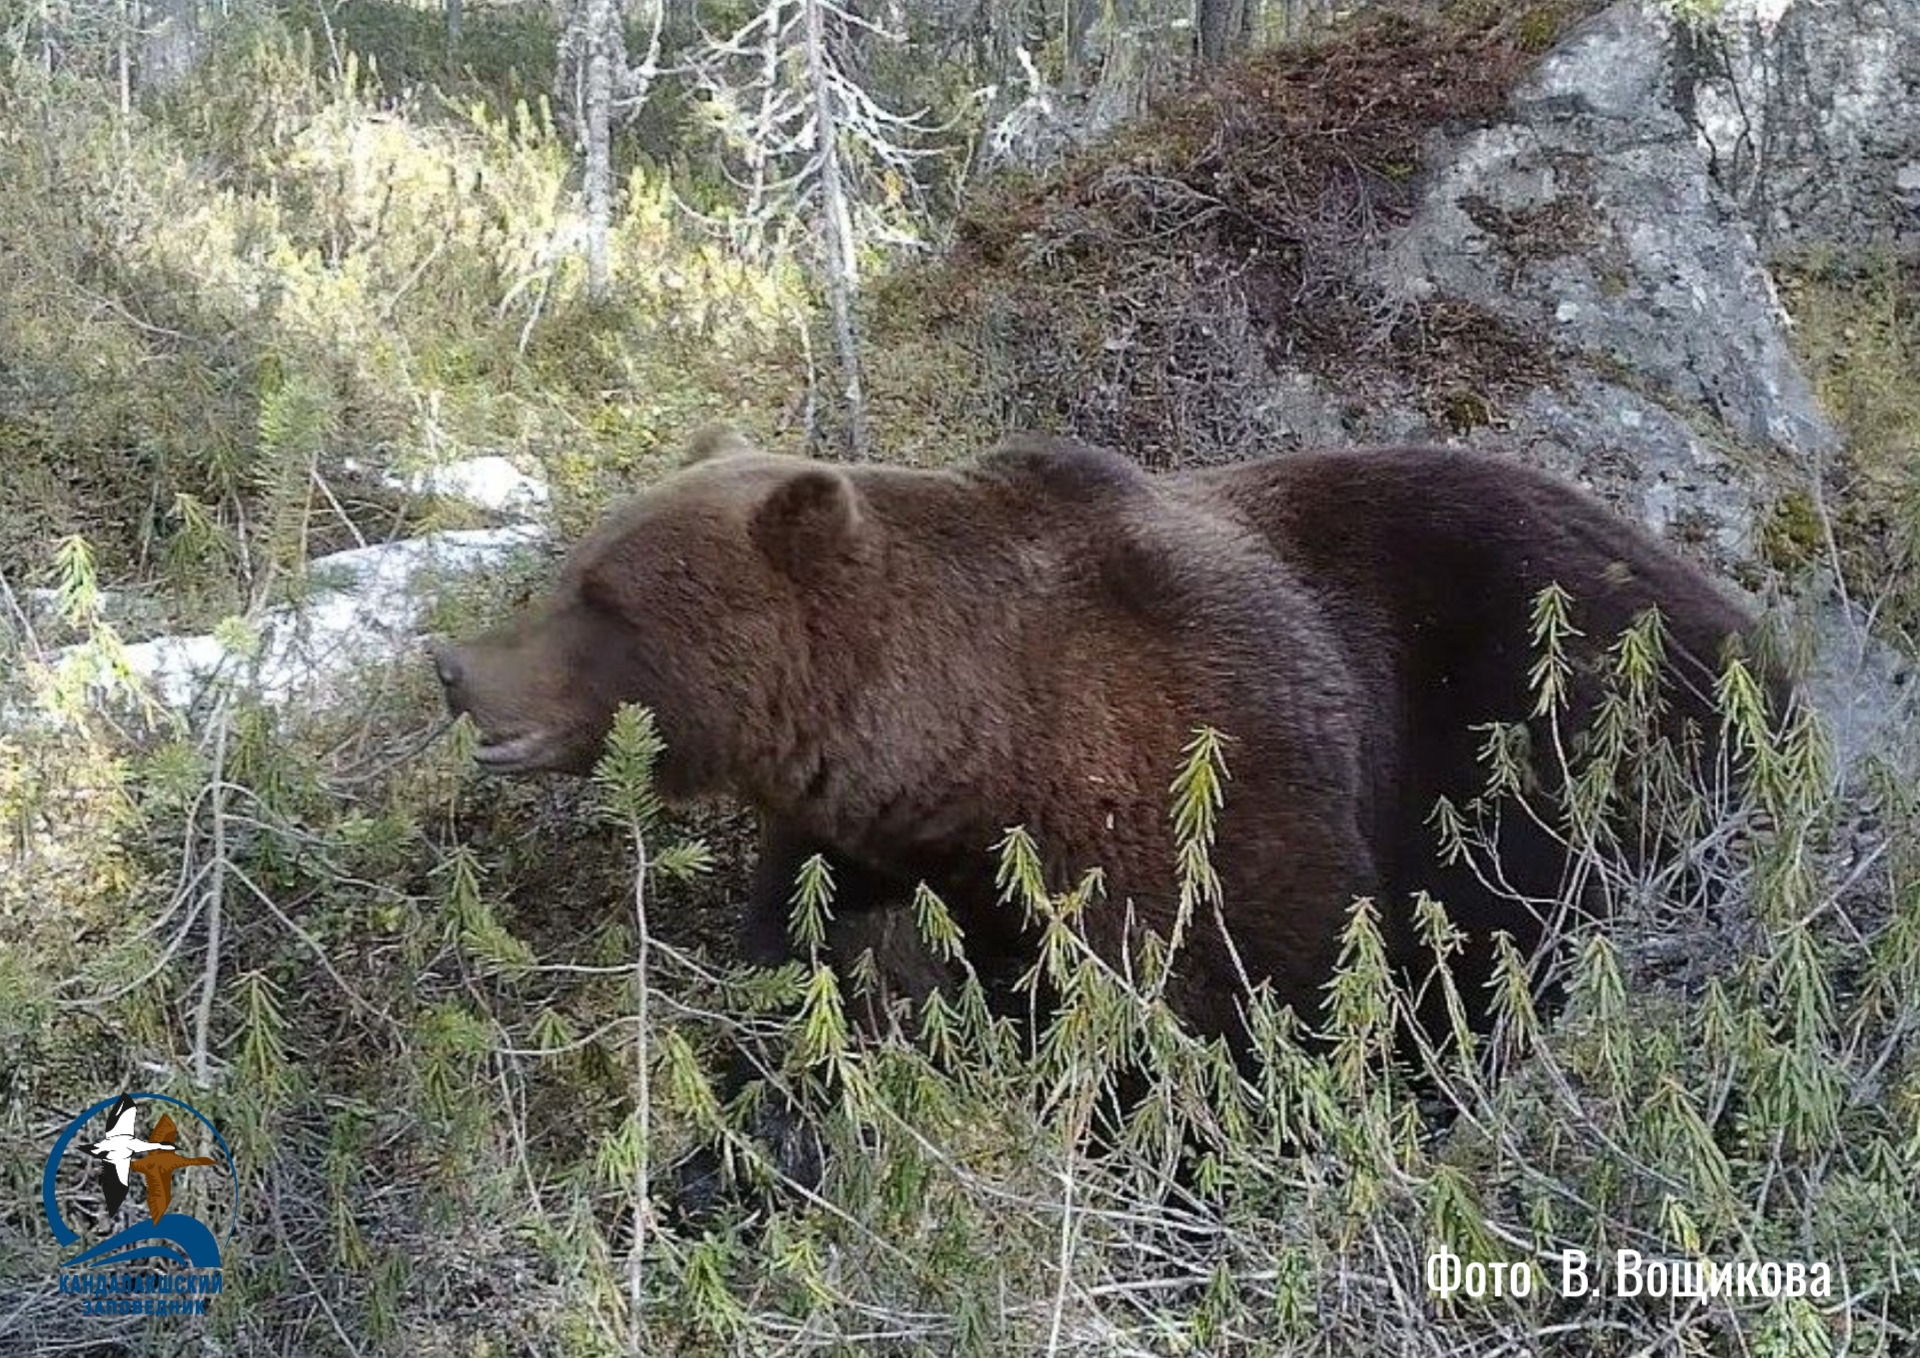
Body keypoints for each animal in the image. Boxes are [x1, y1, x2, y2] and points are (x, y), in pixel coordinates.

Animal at [428, 429, 1778, 1195]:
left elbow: (1243, 1024)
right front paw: (709, 1169)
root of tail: (1749, 620)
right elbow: (805, 1008)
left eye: (599, 598)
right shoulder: (871, 853)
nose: (452, 665)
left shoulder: (1205, 793)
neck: (974, 743)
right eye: (571, 573)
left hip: (1560, 742)